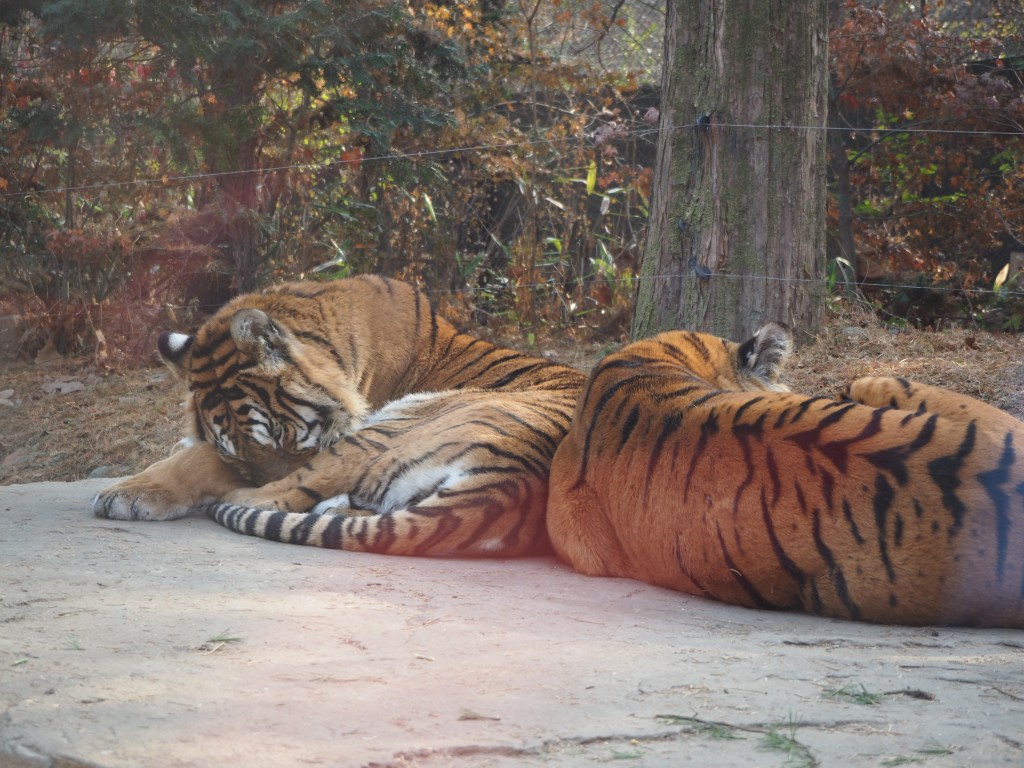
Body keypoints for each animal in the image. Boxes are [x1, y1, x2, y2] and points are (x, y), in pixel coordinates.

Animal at [93, 275, 585, 557]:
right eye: (240, 455)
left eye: (283, 439)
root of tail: (508, 484)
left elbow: (204, 460)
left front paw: (130, 492)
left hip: (394, 424)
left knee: (279, 497)